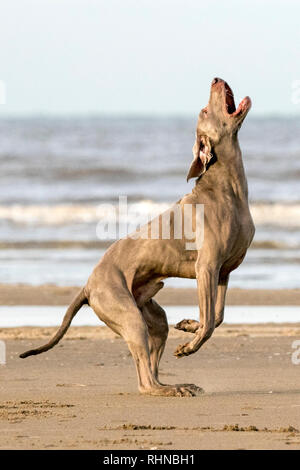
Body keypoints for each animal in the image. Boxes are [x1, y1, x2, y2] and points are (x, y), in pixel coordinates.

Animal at [21, 77, 254, 396]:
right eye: (205, 110)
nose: (216, 79)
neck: (228, 187)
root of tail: (87, 285)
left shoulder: (223, 271)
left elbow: (216, 317)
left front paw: (189, 325)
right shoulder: (206, 266)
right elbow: (209, 323)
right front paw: (189, 346)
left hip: (151, 315)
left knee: (153, 363)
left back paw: (177, 383)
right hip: (128, 314)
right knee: (145, 380)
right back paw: (170, 389)